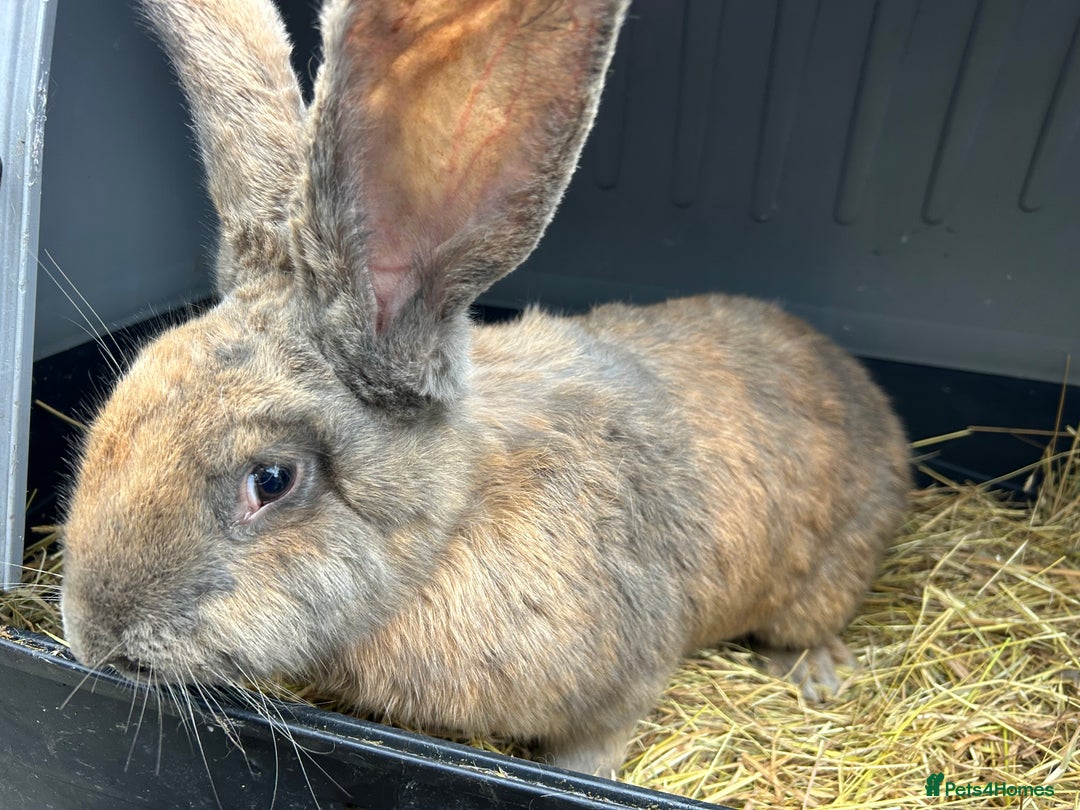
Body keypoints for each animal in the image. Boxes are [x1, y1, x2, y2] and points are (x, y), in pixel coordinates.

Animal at [59, 0, 912, 777]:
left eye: (271, 479)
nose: (89, 635)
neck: (455, 524)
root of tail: (871, 399)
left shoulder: (625, 673)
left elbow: (601, 735)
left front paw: (586, 775)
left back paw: (817, 673)